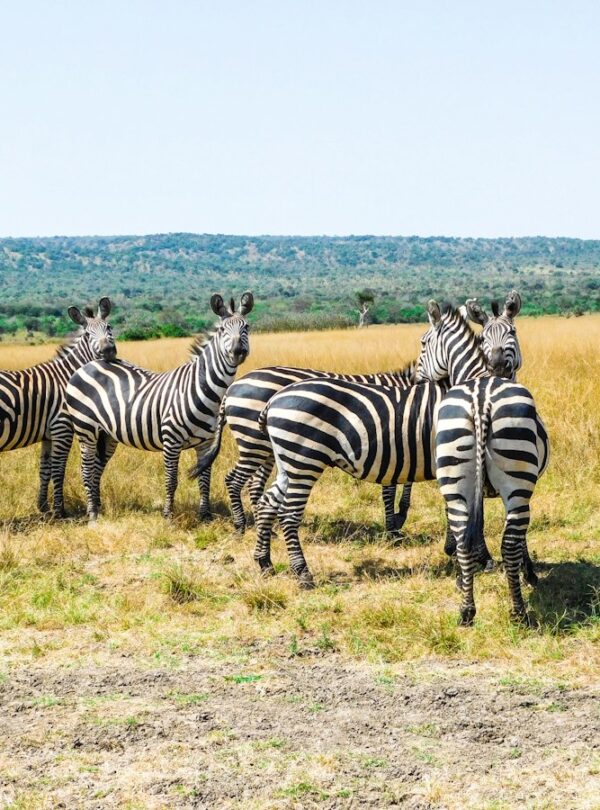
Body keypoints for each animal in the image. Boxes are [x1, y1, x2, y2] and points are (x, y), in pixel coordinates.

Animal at [0, 298, 116, 517]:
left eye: (109, 328)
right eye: (87, 335)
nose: (108, 351)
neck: (68, 377)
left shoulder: (47, 434)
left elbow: (44, 470)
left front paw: (43, 507)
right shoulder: (62, 427)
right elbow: (58, 469)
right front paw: (59, 510)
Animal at [64, 292, 253, 522]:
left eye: (247, 327)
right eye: (222, 330)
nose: (238, 352)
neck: (203, 389)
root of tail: (89, 364)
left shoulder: (206, 443)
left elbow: (204, 480)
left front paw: (205, 516)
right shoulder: (171, 440)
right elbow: (171, 480)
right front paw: (168, 516)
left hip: (107, 434)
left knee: (96, 469)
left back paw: (98, 508)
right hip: (86, 428)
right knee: (86, 468)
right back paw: (92, 513)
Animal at [417, 301, 550, 625]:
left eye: (423, 344)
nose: (416, 377)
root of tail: (480, 398)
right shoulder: (523, 489)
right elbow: (520, 538)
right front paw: (529, 574)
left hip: (454, 479)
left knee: (463, 538)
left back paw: (467, 610)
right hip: (517, 482)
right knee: (510, 543)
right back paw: (518, 612)